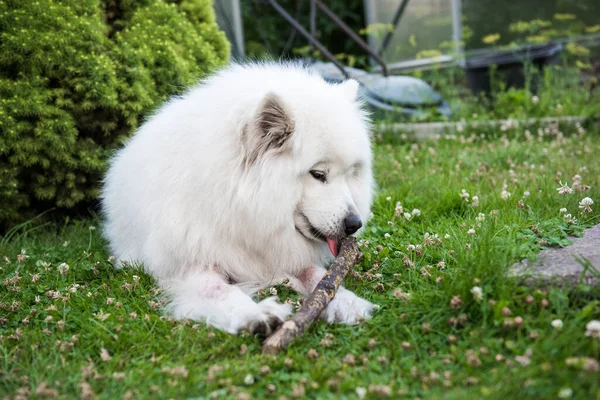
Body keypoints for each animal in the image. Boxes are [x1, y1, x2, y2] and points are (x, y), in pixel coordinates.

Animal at [103, 62, 376, 336]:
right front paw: (256, 314)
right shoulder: (190, 263)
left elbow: (318, 276)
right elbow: (219, 290)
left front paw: (345, 301)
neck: (236, 209)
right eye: (318, 174)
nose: (354, 223)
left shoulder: (282, 252)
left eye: (350, 173)